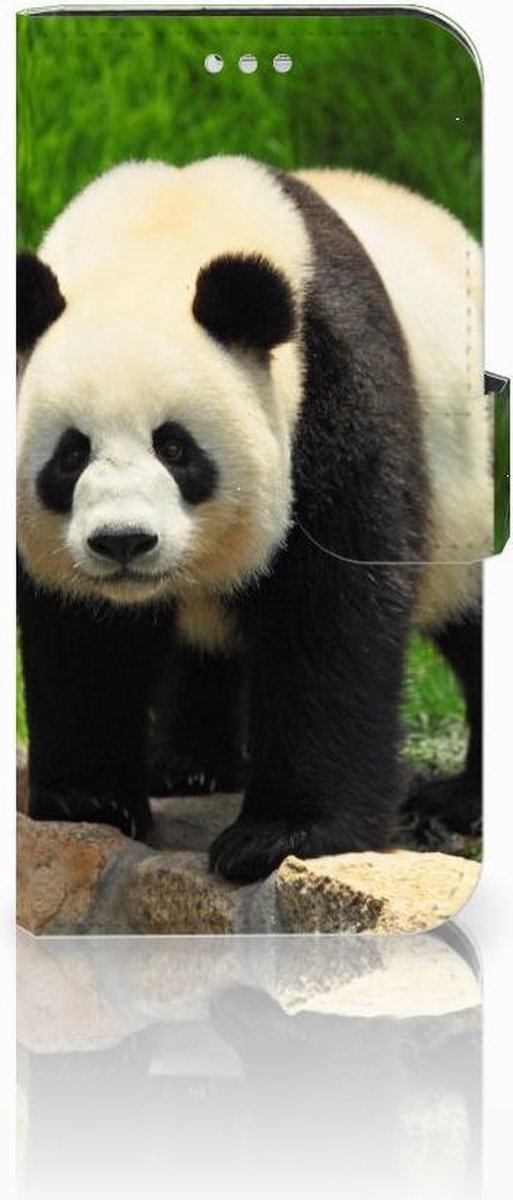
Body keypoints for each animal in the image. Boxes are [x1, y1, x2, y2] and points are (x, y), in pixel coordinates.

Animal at [16, 155, 491, 882]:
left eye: (175, 447)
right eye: (71, 454)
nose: (123, 542)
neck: (163, 232)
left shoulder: (333, 387)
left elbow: (330, 612)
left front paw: (283, 836)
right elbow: (81, 633)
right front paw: (89, 800)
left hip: (470, 493)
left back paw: (461, 802)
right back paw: (188, 766)